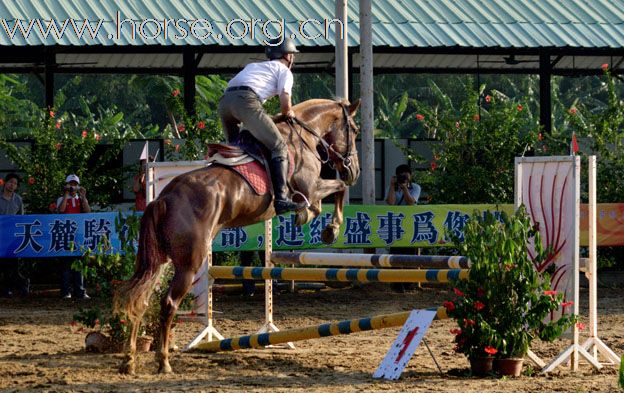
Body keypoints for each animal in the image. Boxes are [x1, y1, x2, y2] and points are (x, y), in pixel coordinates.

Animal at [114, 98, 364, 374]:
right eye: (354, 130)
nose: (354, 171)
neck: (303, 136)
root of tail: (164, 198)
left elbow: (330, 196)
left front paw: (312, 217)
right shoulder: (311, 187)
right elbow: (338, 189)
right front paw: (329, 228)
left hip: (161, 261)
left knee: (142, 300)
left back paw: (129, 360)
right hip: (189, 264)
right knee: (168, 303)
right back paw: (164, 361)